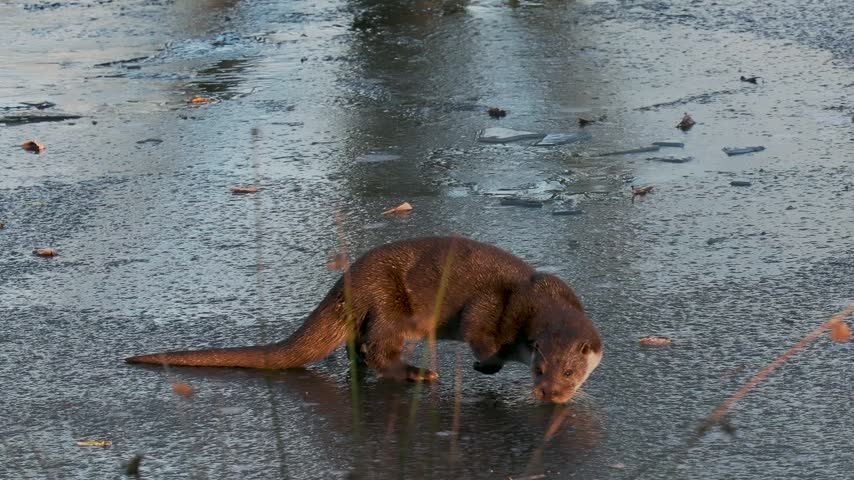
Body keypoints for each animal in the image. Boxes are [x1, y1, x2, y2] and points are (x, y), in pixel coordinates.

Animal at [126, 237, 603, 403]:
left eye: (570, 371)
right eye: (540, 369)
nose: (550, 393)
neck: (536, 297)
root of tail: (347, 279)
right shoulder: (491, 307)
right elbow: (479, 334)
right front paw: (487, 365)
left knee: (358, 347)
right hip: (391, 304)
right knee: (378, 348)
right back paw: (416, 373)